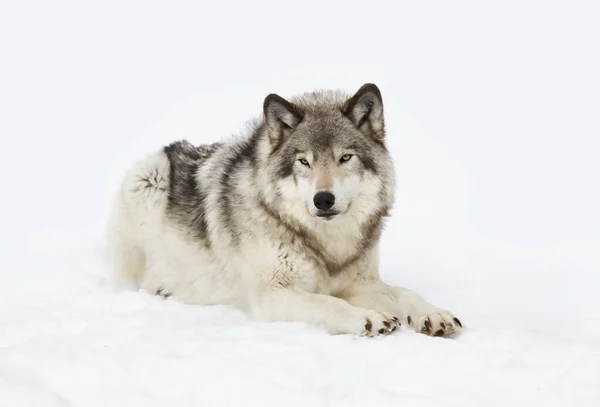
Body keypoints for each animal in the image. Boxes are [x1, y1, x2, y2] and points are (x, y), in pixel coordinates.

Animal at [109, 83, 464, 338]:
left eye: (345, 158)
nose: (324, 199)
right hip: (148, 178)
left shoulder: (358, 282)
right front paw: (367, 318)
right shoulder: (273, 294)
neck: (326, 245)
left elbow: (404, 292)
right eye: (303, 161)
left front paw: (433, 313)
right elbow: (328, 302)